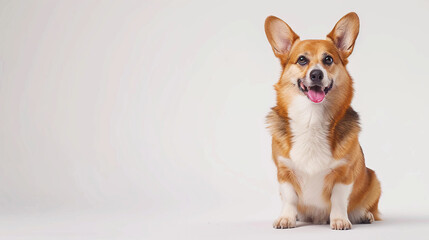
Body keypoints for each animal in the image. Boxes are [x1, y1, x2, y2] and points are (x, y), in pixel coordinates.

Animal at [264, 12, 382, 230]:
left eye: (328, 59)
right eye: (302, 60)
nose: (316, 74)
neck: (312, 117)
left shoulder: (344, 173)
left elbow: (338, 199)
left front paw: (340, 220)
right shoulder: (284, 172)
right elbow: (289, 198)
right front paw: (286, 218)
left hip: (373, 180)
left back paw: (364, 215)